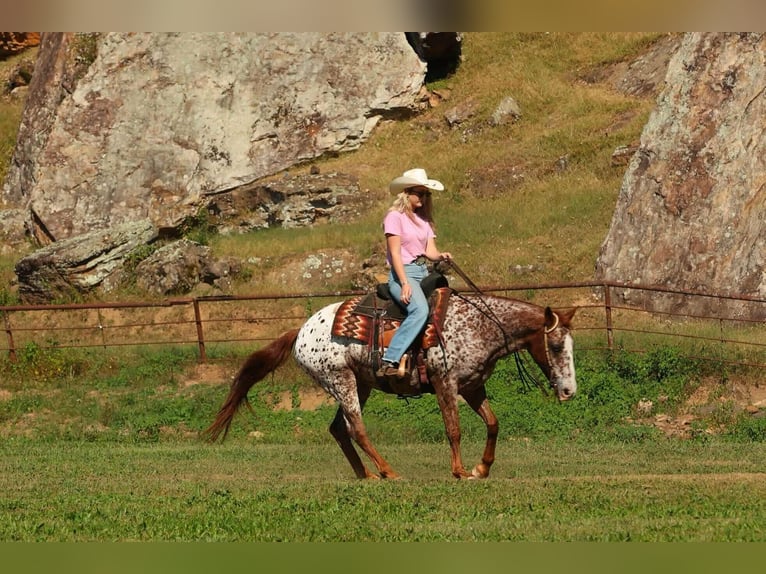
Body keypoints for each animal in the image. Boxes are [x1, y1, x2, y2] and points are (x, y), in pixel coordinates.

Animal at [204, 289, 577, 480]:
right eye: (557, 345)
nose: (569, 391)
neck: (477, 326)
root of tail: (300, 331)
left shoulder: (472, 386)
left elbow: (493, 423)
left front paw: (482, 467)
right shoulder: (445, 383)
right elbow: (453, 429)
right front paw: (459, 471)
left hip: (360, 384)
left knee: (339, 429)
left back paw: (367, 476)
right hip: (340, 381)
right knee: (356, 428)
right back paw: (388, 471)